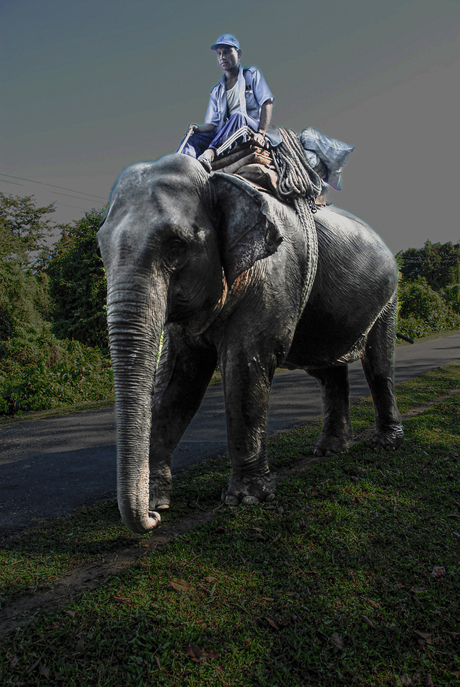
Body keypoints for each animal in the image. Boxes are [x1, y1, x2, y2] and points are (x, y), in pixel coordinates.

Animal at [97, 153, 402, 536]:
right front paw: (157, 501)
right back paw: (329, 450)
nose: (153, 520)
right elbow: (179, 382)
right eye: (101, 246)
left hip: (388, 296)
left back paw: (386, 443)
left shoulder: (272, 276)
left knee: (377, 365)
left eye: (176, 245)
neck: (217, 178)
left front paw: (246, 500)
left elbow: (244, 367)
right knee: (328, 371)